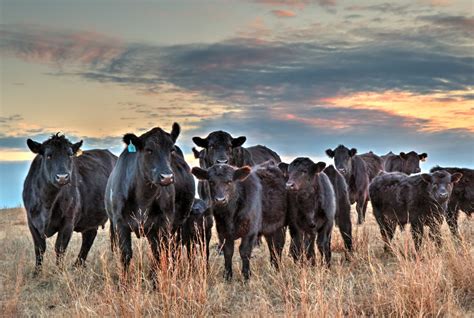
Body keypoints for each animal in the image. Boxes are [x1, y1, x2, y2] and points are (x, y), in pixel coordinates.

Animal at [23, 134, 117, 274]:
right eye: (49, 155)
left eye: (70, 155)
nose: (62, 177)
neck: (47, 202)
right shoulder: (32, 222)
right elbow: (39, 249)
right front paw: (36, 273)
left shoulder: (68, 222)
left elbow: (60, 248)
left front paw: (59, 271)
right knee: (89, 237)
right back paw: (77, 265)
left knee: (114, 238)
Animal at [106, 123, 195, 276]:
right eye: (148, 150)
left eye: (171, 150)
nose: (167, 177)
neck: (143, 199)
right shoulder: (120, 223)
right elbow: (125, 254)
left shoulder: (163, 224)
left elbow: (159, 254)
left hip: (177, 225)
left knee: (173, 249)